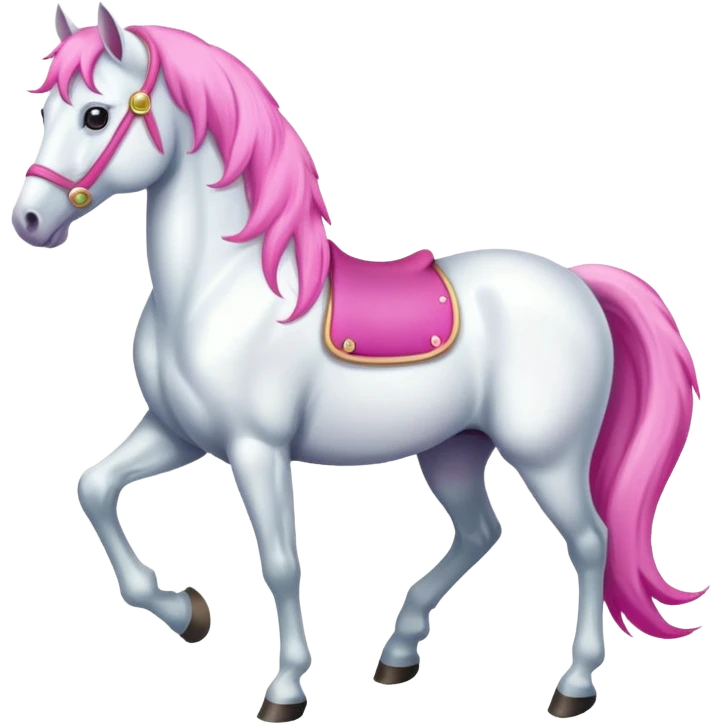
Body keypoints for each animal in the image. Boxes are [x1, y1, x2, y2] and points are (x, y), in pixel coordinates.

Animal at [11, 4, 707, 721]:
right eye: (46, 111)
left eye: (96, 115)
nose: (29, 220)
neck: (220, 288)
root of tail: (577, 284)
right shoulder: (178, 433)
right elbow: (94, 487)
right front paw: (188, 613)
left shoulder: (256, 448)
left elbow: (282, 562)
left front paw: (285, 689)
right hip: (453, 448)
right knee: (480, 532)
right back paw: (398, 654)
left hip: (548, 455)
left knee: (590, 542)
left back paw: (573, 685)